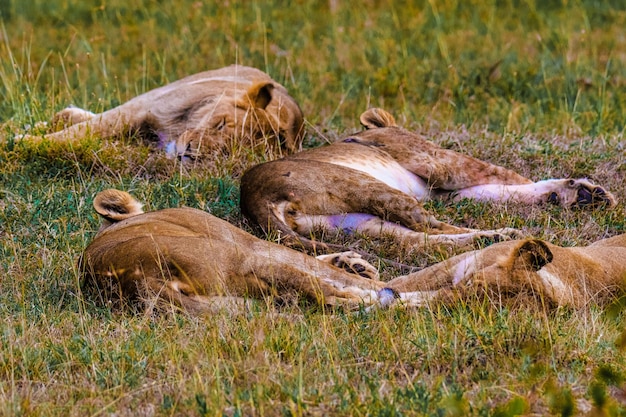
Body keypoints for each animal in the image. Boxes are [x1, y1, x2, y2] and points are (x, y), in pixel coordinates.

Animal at [20, 66, 302, 158]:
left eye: (227, 151)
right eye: (220, 123)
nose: (188, 152)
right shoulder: (143, 107)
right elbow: (85, 130)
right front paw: (29, 143)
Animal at [78, 188, 390, 312]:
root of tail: (136, 280)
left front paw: (352, 263)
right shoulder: (251, 243)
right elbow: (310, 263)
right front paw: (361, 273)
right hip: (238, 255)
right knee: (318, 288)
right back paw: (370, 295)